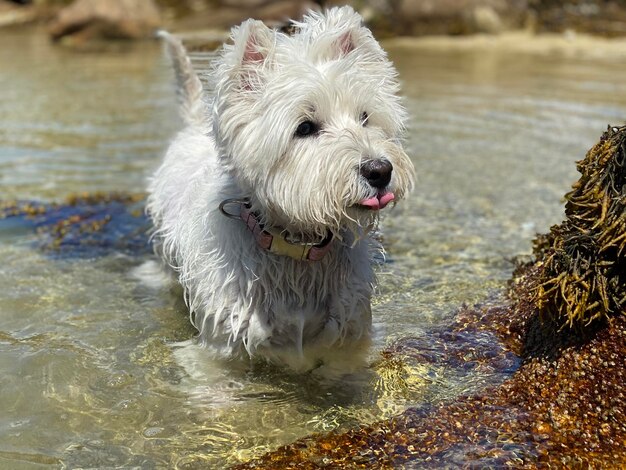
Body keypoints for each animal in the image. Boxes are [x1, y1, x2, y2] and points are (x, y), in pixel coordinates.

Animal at [147, 6, 414, 370]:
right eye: (305, 127)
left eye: (365, 117)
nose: (380, 171)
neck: (296, 249)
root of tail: (194, 124)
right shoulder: (220, 347)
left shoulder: (347, 341)